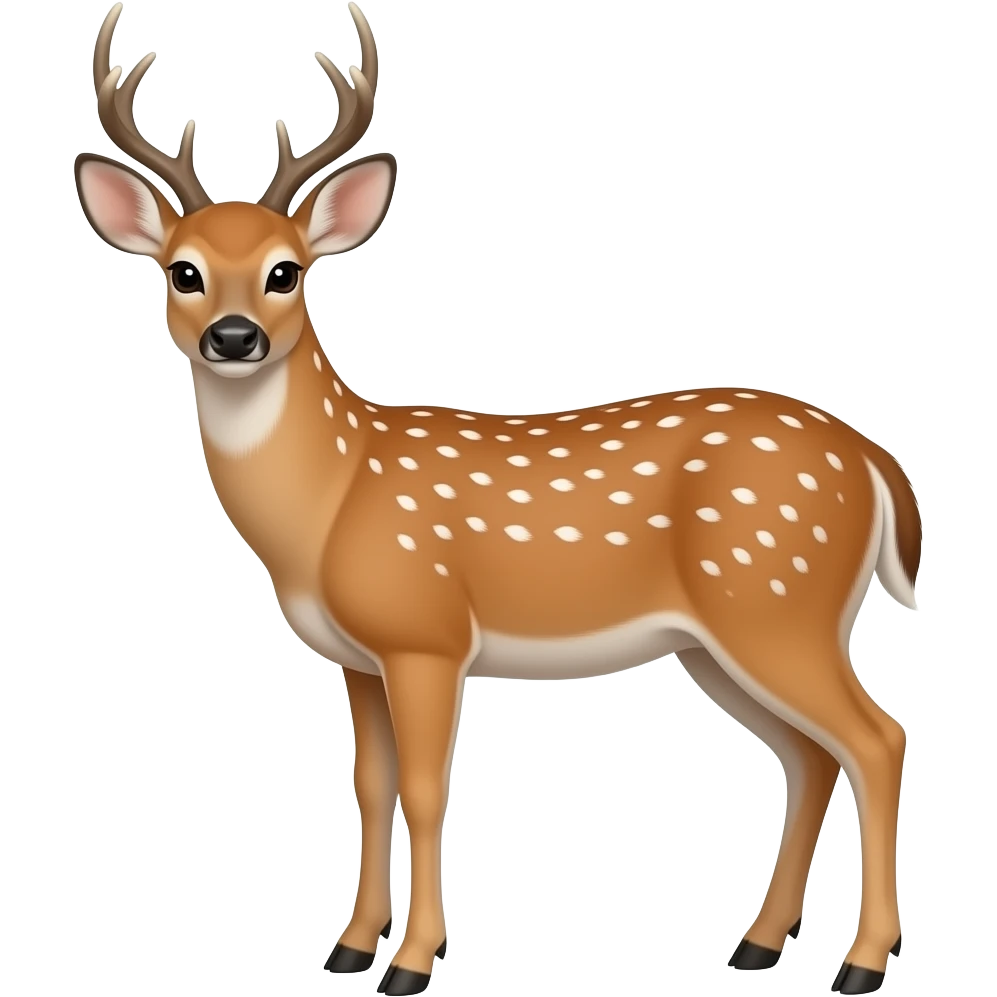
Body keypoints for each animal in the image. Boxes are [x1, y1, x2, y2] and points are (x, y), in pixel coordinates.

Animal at [74, 4, 917, 994]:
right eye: (183, 271)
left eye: (288, 271)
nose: (233, 337)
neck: (329, 502)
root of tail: (873, 461)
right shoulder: (358, 657)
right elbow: (370, 787)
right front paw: (348, 946)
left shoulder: (426, 633)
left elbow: (427, 789)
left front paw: (411, 962)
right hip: (723, 637)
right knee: (810, 754)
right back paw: (756, 945)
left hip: (776, 600)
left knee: (876, 737)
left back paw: (859, 961)